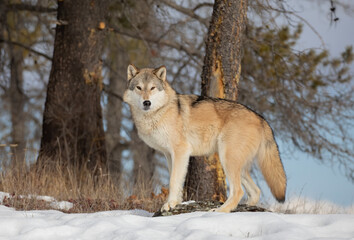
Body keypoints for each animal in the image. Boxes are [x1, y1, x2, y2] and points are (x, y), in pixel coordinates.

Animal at [123, 64, 286, 213]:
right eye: (138, 88)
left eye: (152, 88)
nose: (146, 102)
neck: (159, 113)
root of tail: (261, 118)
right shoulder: (169, 154)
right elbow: (176, 181)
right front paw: (176, 202)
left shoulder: (181, 151)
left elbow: (174, 180)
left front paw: (169, 205)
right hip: (236, 165)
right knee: (255, 191)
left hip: (228, 160)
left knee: (238, 191)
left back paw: (219, 211)